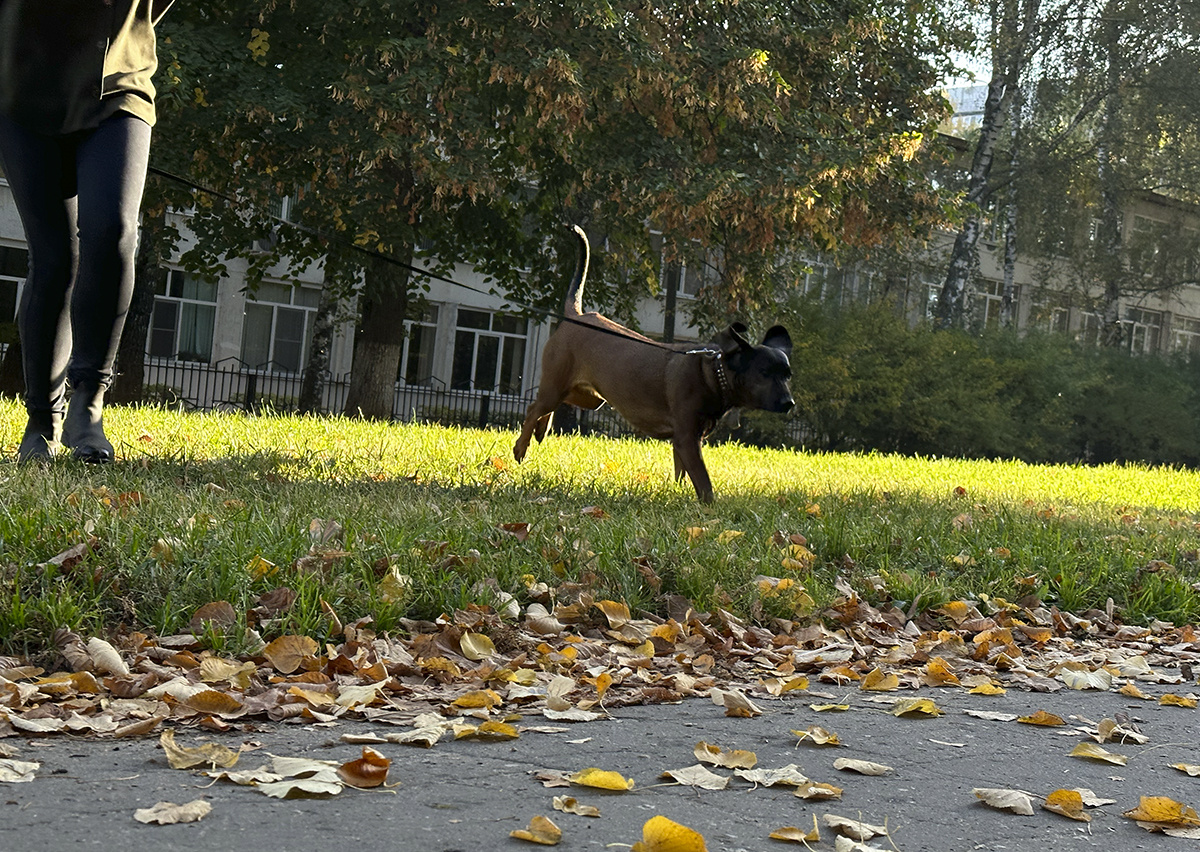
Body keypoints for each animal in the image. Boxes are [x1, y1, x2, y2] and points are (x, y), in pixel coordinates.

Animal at [511, 229, 792, 506]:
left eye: (788, 376)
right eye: (764, 373)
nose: (789, 403)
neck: (713, 373)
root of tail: (577, 316)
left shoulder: (687, 440)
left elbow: (682, 473)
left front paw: (677, 493)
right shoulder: (687, 438)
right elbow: (704, 483)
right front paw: (711, 508)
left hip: (590, 397)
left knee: (549, 404)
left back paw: (542, 429)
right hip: (558, 383)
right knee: (534, 407)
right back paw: (521, 446)